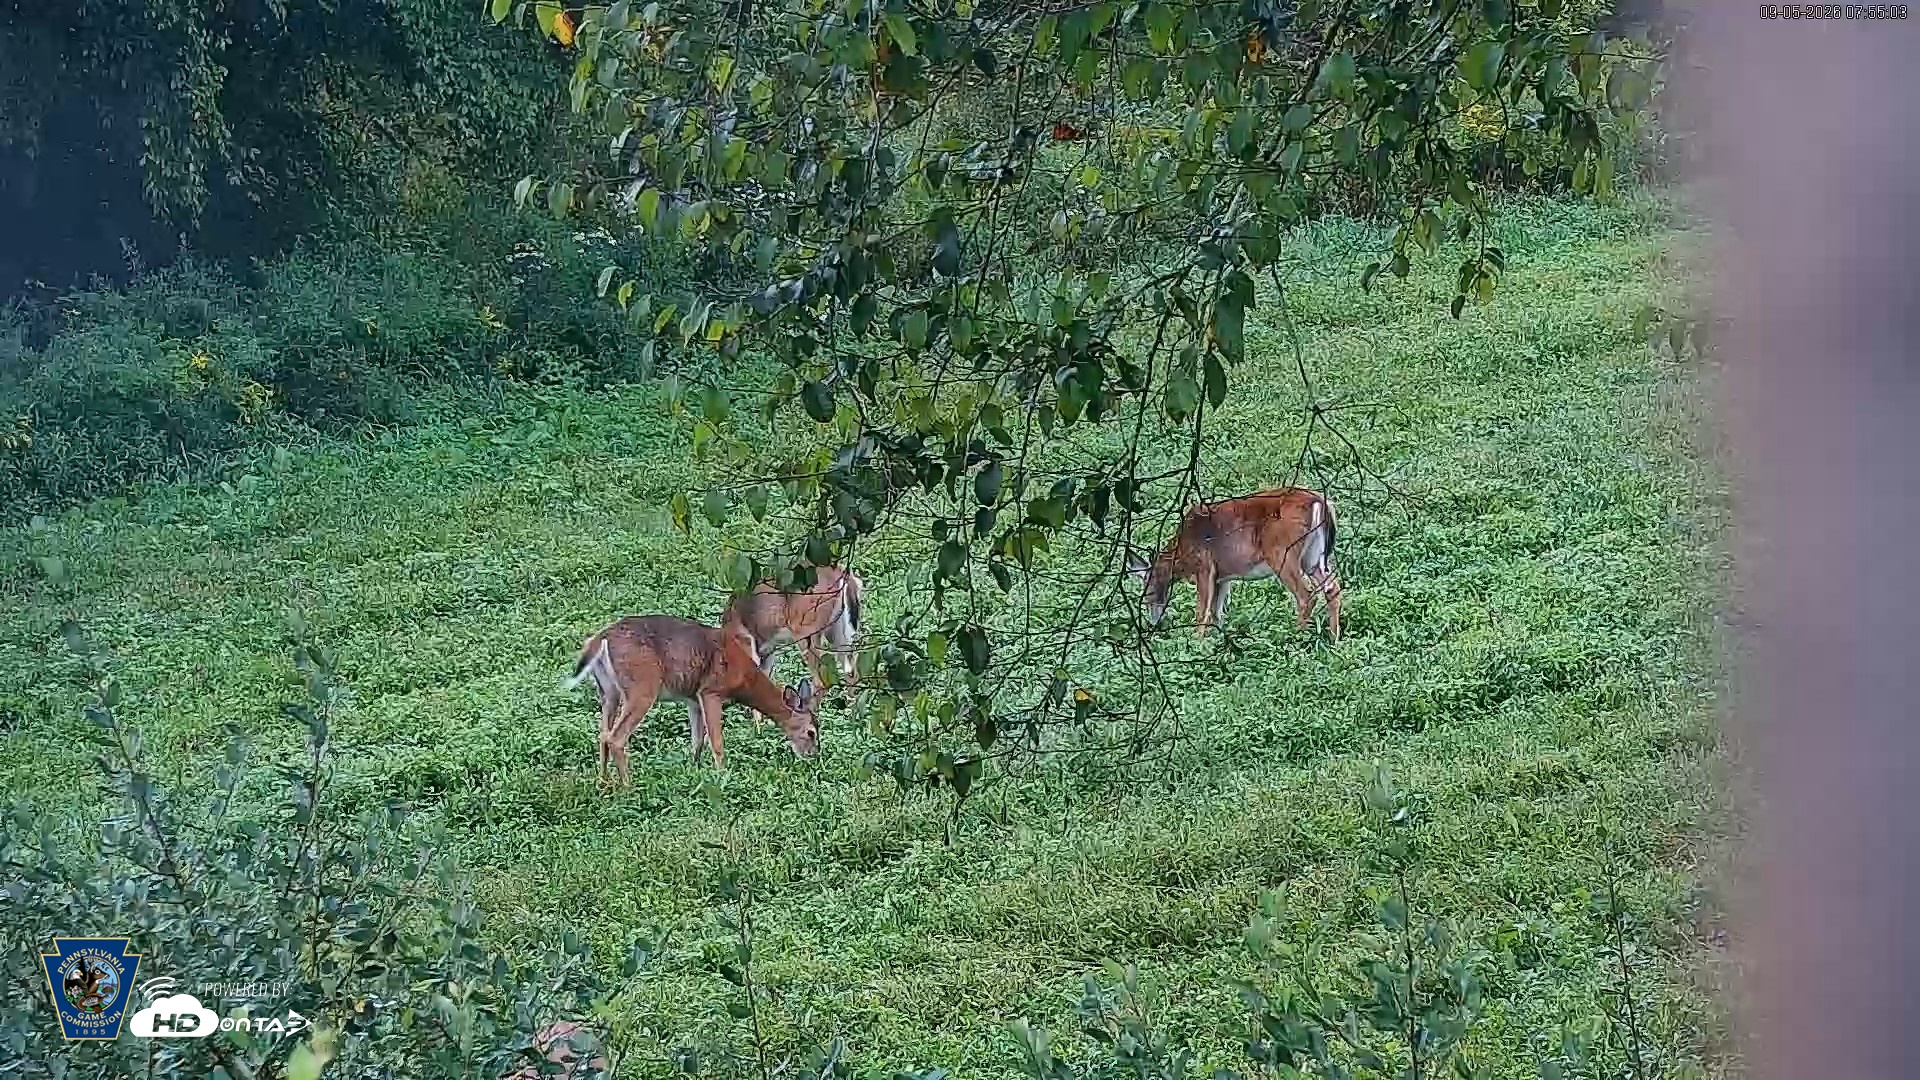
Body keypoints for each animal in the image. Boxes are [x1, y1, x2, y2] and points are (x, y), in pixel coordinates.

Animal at [564, 615, 820, 783]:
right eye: (811, 732)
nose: (813, 757)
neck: (743, 678)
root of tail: (600, 639)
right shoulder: (711, 691)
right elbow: (716, 741)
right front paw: (722, 774)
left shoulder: (692, 699)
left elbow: (697, 741)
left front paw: (693, 770)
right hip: (642, 687)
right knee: (615, 737)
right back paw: (628, 786)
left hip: (608, 692)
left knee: (602, 735)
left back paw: (604, 782)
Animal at [721, 567, 864, 725]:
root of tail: (843, 573)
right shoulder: (768, 649)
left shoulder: (747, 643)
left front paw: (757, 725)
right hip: (839, 629)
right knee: (851, 671)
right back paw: (851, 716)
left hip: (806, 630)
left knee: (821, 680)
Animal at [1126, 487, 1343, 642]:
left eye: (1147, 594)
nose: (1154, 624)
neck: (1182, 551)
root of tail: (1319, 502)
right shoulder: (1222, 577)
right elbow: (1217, 614)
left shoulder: (1204, 566)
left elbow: (1202, 613)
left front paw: (1196, 644)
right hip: (1312, 559)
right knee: (1332, 588)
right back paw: (1334, 639)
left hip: (1282, 553)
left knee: (1306, 596)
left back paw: (1296, 638)